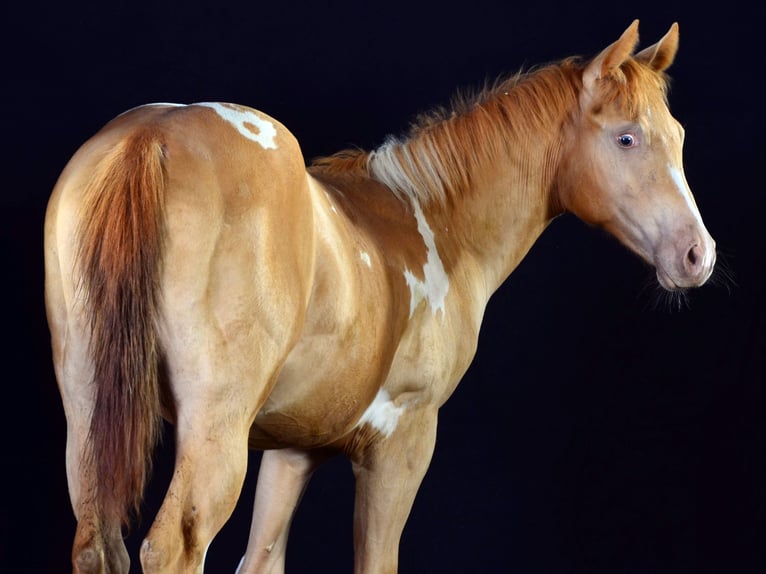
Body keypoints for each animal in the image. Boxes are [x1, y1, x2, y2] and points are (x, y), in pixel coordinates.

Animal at [44, 20, 715, 573]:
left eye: (679, 133)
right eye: (627, 138)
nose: (697, 255)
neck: (435, 225)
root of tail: (154, 136)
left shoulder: (292, 448)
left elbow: (261, 560)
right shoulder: (402, 442)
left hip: (89, 417)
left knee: (98, 547)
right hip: (214, 431)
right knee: (172, 548)